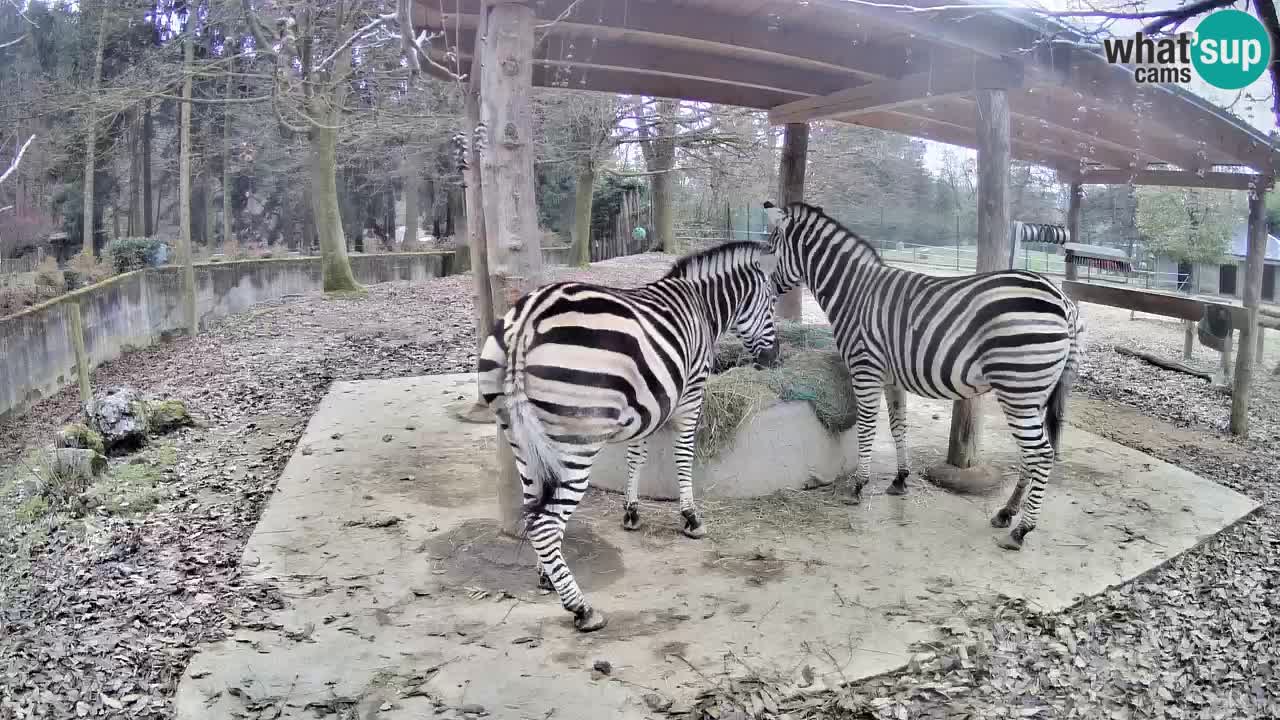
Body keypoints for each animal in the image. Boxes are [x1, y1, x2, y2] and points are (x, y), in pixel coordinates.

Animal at [476, 240, 778, 627]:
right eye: (771, 302)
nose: (774, 358)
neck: (701, 304)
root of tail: (527, 321)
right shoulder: (691, 391)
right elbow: (683, 455)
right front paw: (691, 518)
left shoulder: (645, 404)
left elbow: (636, 455)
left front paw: (631, 512)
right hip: (576, 442)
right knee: (545, 523)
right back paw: (582, 609)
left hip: (521, 441)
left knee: (535, 510)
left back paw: (548, 575)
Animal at [757, 202, 1090, 548]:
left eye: (770, 248)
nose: (768, 291)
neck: (854, 293)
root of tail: (1064, 301)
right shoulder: (891, 377)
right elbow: (898, 426)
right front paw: (900, 479)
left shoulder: (865, 369)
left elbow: (867, 429)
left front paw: (858, 485)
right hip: (1034, 392)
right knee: (1031, 455)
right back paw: (1006, 512)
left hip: (1019, 389)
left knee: (1042, 454)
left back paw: (1022, 530)